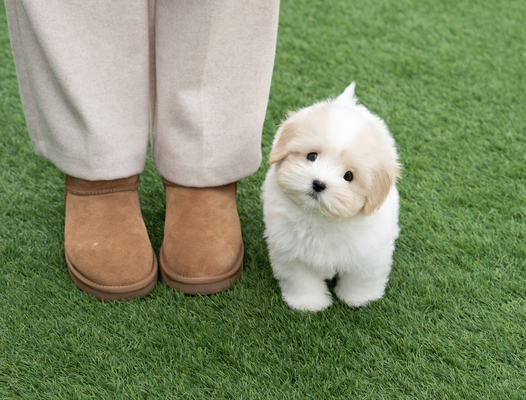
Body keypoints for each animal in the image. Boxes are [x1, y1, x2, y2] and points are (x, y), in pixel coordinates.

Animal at [262, 82, 401, 311]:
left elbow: (362, 278)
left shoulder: (369, 254)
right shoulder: (291, 252)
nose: (318, 184)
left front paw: (359, 299)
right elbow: (301, 280)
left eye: (348, 176)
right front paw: (309, 304)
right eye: (312, 156)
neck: (320, 219)